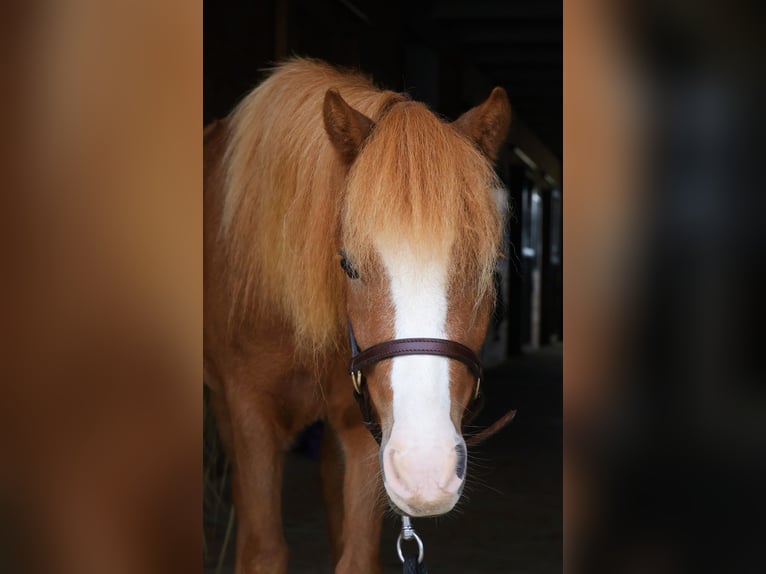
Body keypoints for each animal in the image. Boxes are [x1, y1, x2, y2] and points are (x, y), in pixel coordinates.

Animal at [204, 58, 512, 574]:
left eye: (488, 268)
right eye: (348, 264)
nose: (426, 469)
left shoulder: (366, 426)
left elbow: (357, 554)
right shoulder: (250, 413)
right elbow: (263, 550)